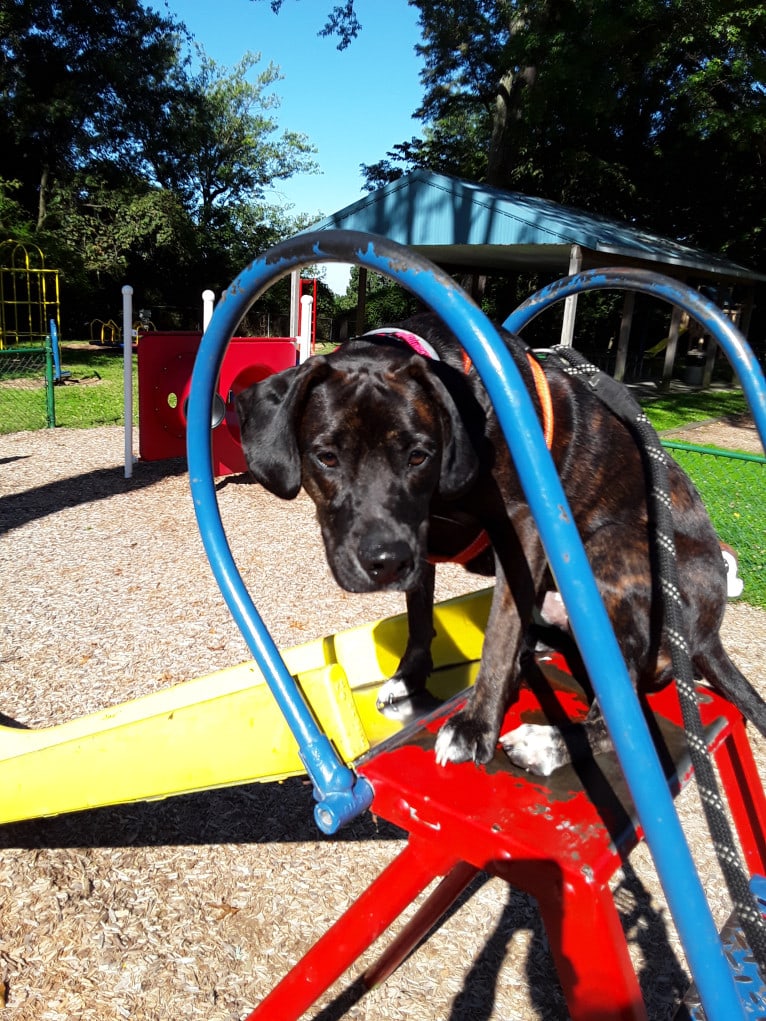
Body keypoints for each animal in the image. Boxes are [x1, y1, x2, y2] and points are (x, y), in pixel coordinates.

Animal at [235, 310, 766, 771]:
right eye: (326, 456)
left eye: (419, 455)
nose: (385, 562)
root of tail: (709, 635)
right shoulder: (419, 538)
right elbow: (420, 616)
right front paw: (410, 677)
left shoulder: (522, 529)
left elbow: (500, 633)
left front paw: (475, 727)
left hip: (610, 550)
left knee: (627, 712)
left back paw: (551, 742)